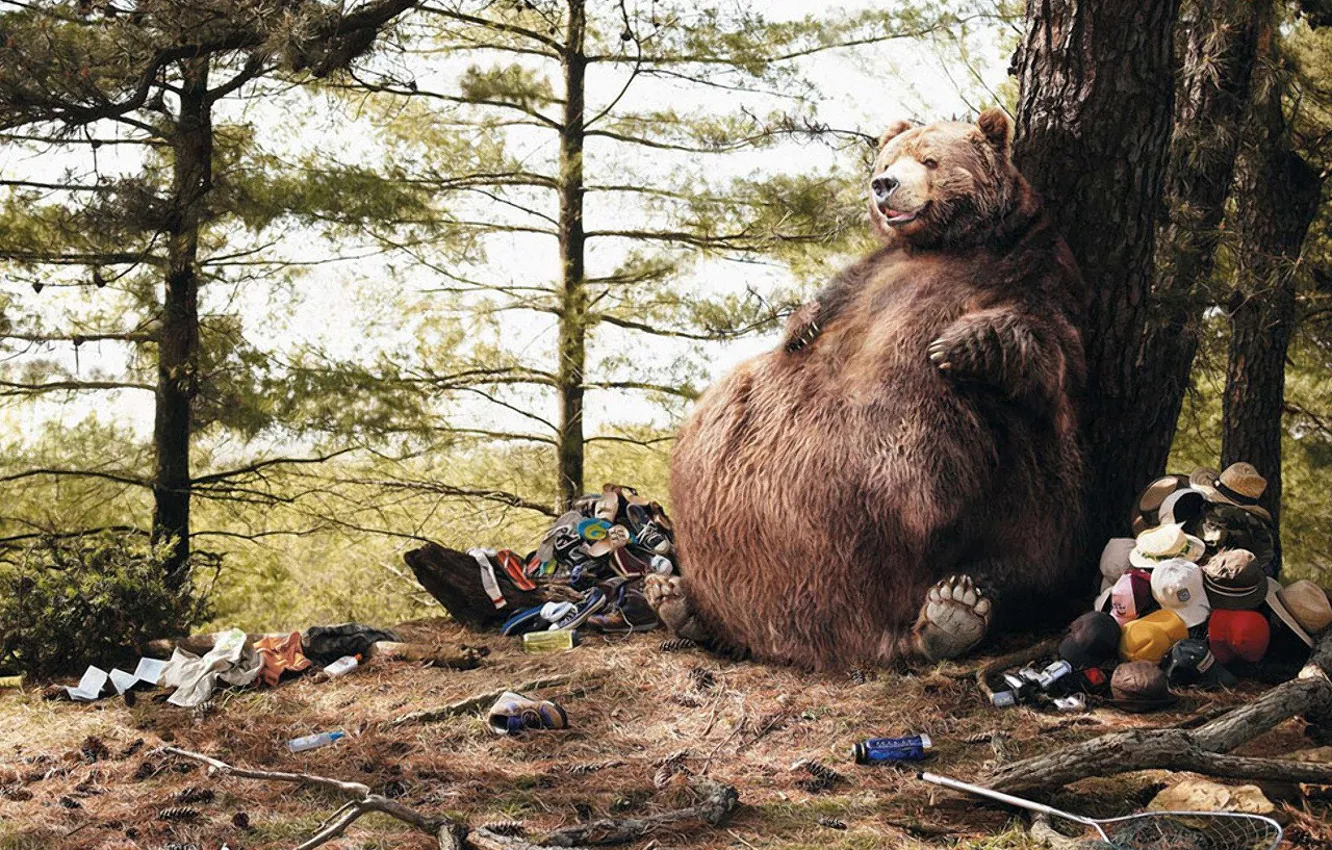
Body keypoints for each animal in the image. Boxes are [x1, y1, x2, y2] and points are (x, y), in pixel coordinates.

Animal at [646, 109, 1089, 670]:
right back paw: (678, 600)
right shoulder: (873, 271)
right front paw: (800, 327)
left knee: (1032, 534)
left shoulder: (1037, 265)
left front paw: (959, 342)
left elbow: (1051, 349)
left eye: (930, 159)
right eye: (886, 161)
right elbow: (831, 299)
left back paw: (954, 611)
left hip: (1005, 479)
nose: (883, 186)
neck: (947, 243)